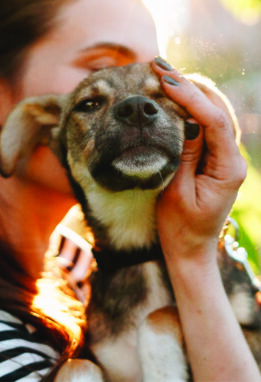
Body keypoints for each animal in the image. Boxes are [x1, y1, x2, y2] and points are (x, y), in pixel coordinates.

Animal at [0, 64, 260, 380]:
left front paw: (163, 368)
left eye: (164, 92)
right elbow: (77, 363)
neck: (139, 248)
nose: (136, 109)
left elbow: (159, 313)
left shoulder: (253, 335)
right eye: (89, 104)